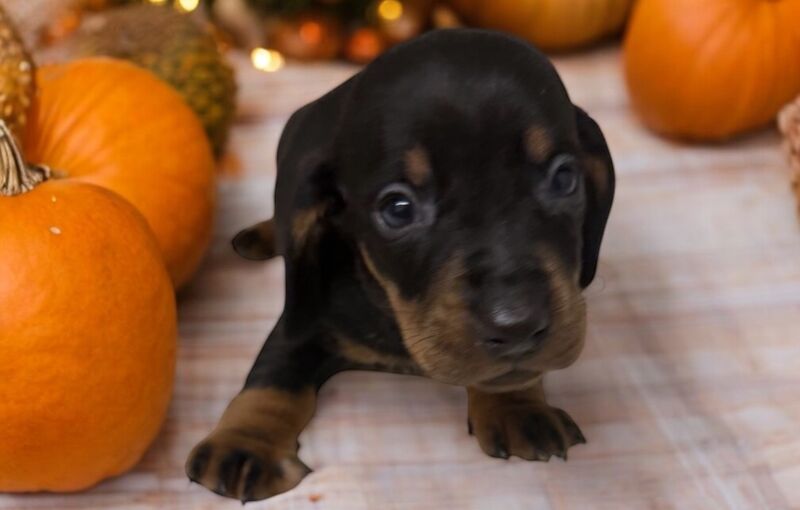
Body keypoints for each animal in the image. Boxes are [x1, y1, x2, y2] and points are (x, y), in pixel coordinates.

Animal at [186, 29, 612, 504]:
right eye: (398, 209)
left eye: (564, 179)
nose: (517, 324)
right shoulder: (305, 318)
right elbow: (271, 376)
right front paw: (245, 443)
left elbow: (511, 375)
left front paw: (519, 404)